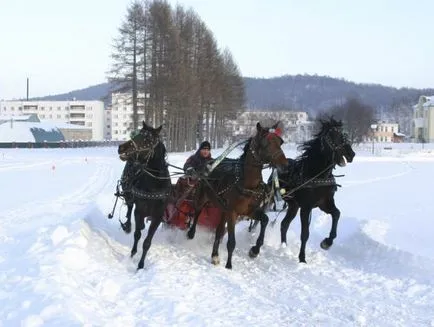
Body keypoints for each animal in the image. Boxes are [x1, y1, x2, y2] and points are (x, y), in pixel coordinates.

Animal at [117, 121, 171, 270]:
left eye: (147, 139)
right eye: (138, 134)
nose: (121, 147)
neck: (154, 185)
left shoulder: (158, 216)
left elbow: (147, 242)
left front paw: (140, 265)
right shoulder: (139, 211)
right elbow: (137, 234)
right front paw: (132, 254)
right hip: (129, 195)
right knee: (130, 208)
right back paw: (128, 225)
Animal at [186, 122, 288, 270]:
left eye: (280, 142)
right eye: (266, 143)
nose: (285, 165)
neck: (247, 185)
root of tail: (208, 163)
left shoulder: (249, 212)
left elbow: (265, 220)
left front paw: (255, 250)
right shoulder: (233, 213)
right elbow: (231, 241)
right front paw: (229, 264)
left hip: (223, 209)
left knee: (219, 230)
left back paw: (215, 255)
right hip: (202, 198)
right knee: (197, 212)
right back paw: (191, 232)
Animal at [262, 118, 354, 264]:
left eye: (344, 135)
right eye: (332, 135)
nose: (351, 154)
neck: (317, 175)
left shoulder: (325, 203)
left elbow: (336, 214)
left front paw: (327, 242)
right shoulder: (306, 208)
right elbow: (305, 234)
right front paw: (302, 258)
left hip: (293, 206)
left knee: (284, 224)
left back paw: (284, 247)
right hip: (272, 200)